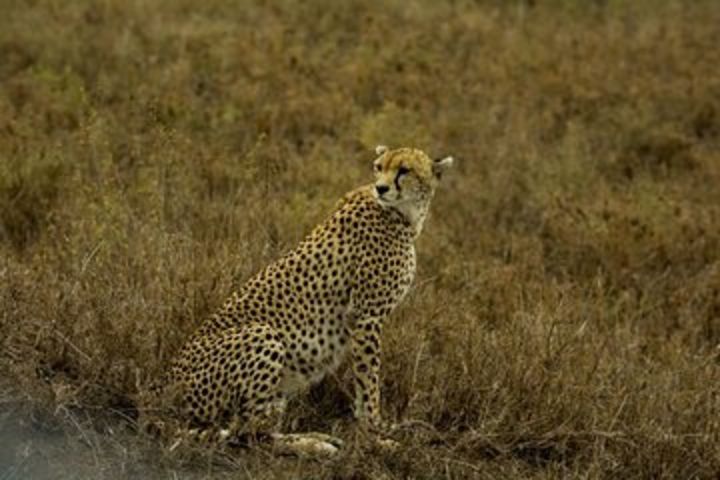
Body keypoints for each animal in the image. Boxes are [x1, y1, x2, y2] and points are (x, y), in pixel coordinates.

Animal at [148, 144, 456, 456]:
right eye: (378, 167)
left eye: (404, 170)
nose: (381, 188)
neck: (404, 214)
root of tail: (162, 387)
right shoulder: (367, 318)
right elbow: (369, 383)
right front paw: (376, 436)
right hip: (264, 334)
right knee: (247, 435)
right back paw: (315, 445)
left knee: (254, 429)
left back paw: (316, 439)